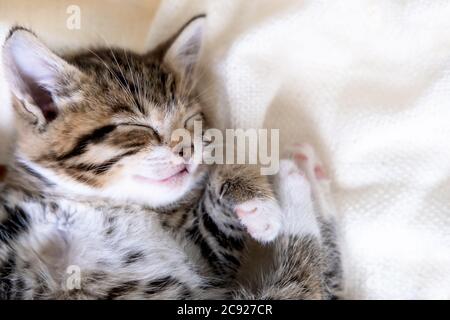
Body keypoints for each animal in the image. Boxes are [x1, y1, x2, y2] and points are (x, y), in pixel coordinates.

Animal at [0, 16, 342, 298]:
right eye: (138, 126)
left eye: (190, 121)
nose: (187, 148)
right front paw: (263, 203)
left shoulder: (199, 256)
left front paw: (252, 195)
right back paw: (296, 175)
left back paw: (307, 173)